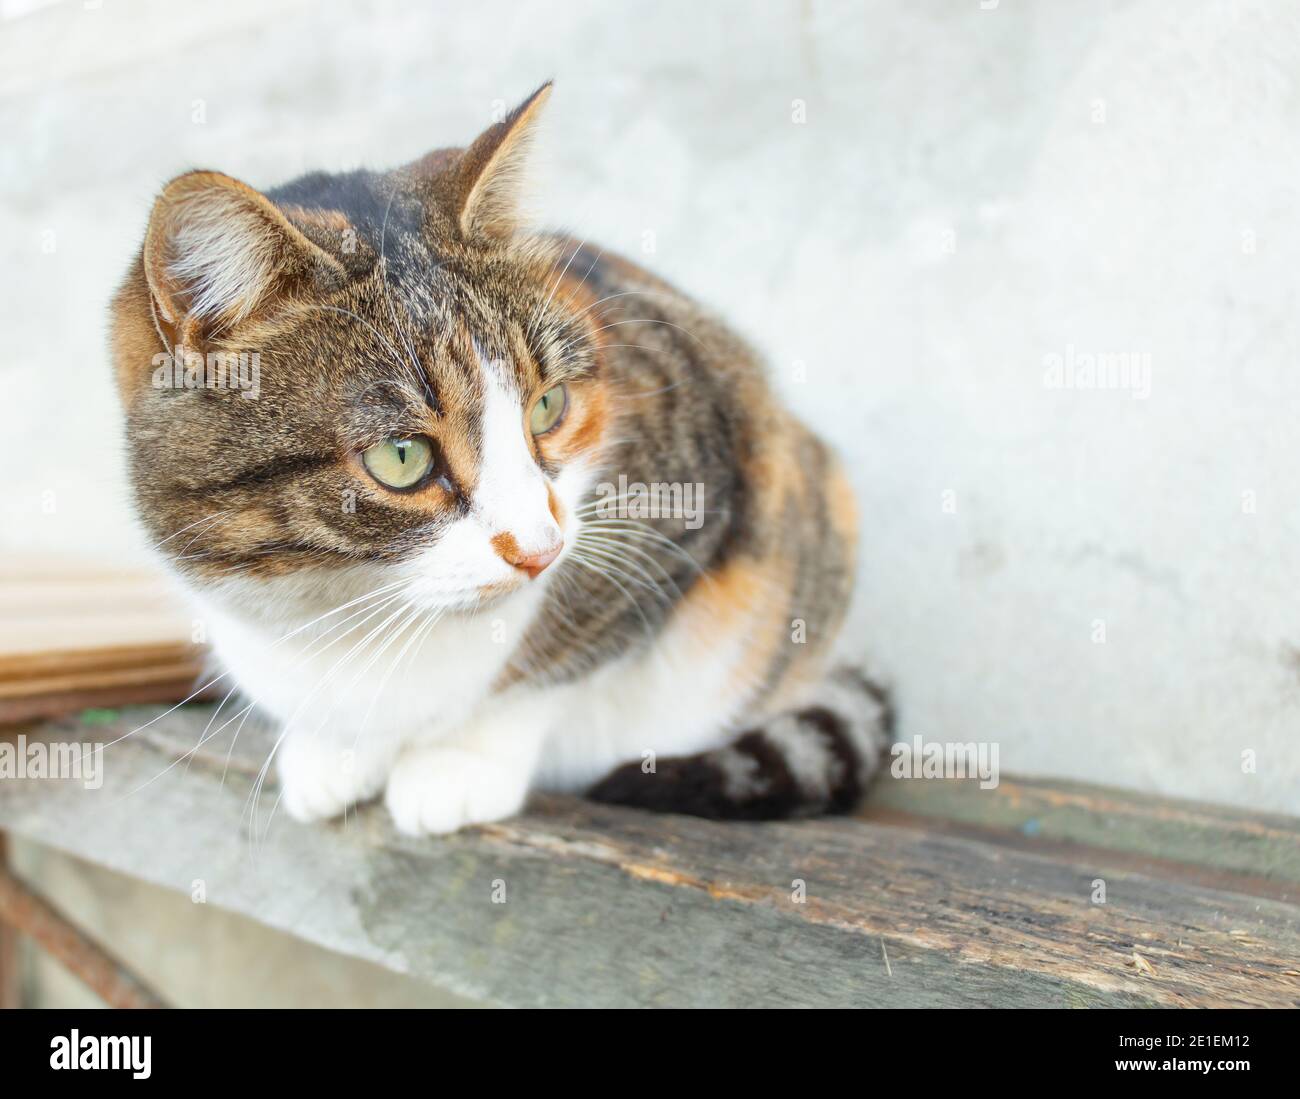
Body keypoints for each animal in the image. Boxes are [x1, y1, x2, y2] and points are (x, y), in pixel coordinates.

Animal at [109, 81, 894, 832]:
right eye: (402, 457)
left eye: (548, 407)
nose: (539, 549)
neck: (359, 612)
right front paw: (330, 750)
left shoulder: (688, 489)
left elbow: (553, 662)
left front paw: (458, 761)